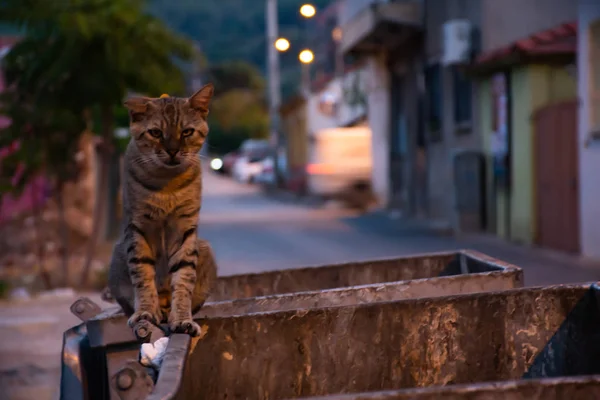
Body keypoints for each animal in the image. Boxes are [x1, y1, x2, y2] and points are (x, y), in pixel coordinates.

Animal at [108, 85, 218, 338]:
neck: (167, 184)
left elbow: (184, 278)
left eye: (187, 131)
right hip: (117, 257)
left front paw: (183, 319)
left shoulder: (184, 228)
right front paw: (146, 312)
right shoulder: (138, 227)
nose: (173, 151)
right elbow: (142, 274)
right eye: (156, 133)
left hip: (205, 250)